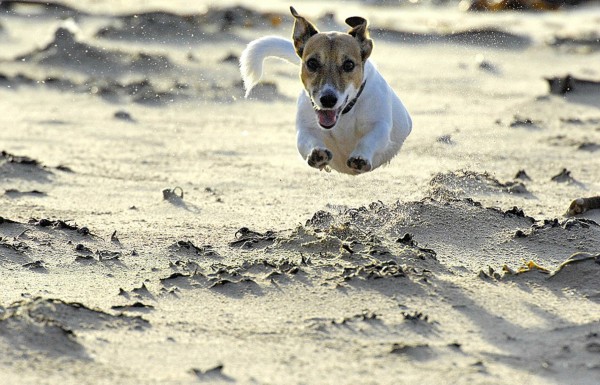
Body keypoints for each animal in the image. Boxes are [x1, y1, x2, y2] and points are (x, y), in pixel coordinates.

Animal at [239, 6, 412, 175]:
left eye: (349, 65)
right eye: (312, 63)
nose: (328, 99)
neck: (344, 115)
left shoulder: (380, 124)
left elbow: (371, 138)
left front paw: (360, 157)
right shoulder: (305, 129)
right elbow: (307, 140)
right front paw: (317, 154)